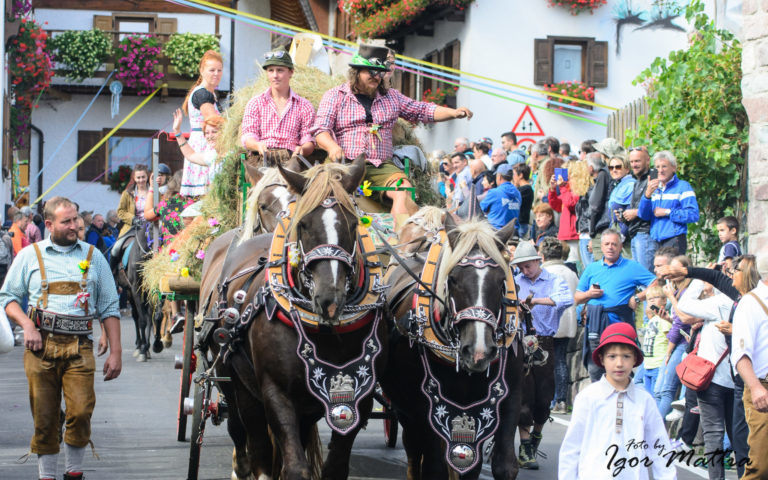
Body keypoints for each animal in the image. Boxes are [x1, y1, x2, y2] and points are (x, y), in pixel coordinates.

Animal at [200, 158, 390, 480]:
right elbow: (293, 466)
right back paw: (242, 464)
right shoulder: (276, 392)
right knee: (246, 434)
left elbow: (335, 466)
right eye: (303, 224)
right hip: (233, 378)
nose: (329, 297)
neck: (324, 330)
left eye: (354, 223)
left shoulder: (357, 400)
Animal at [380, 215, 524, 480]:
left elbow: (502, 466)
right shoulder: (424, 405)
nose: (478, 352)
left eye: (501, 281)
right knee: (413, 449)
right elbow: (435, 466)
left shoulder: (509, 396)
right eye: (454, 278)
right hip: (405, 408)